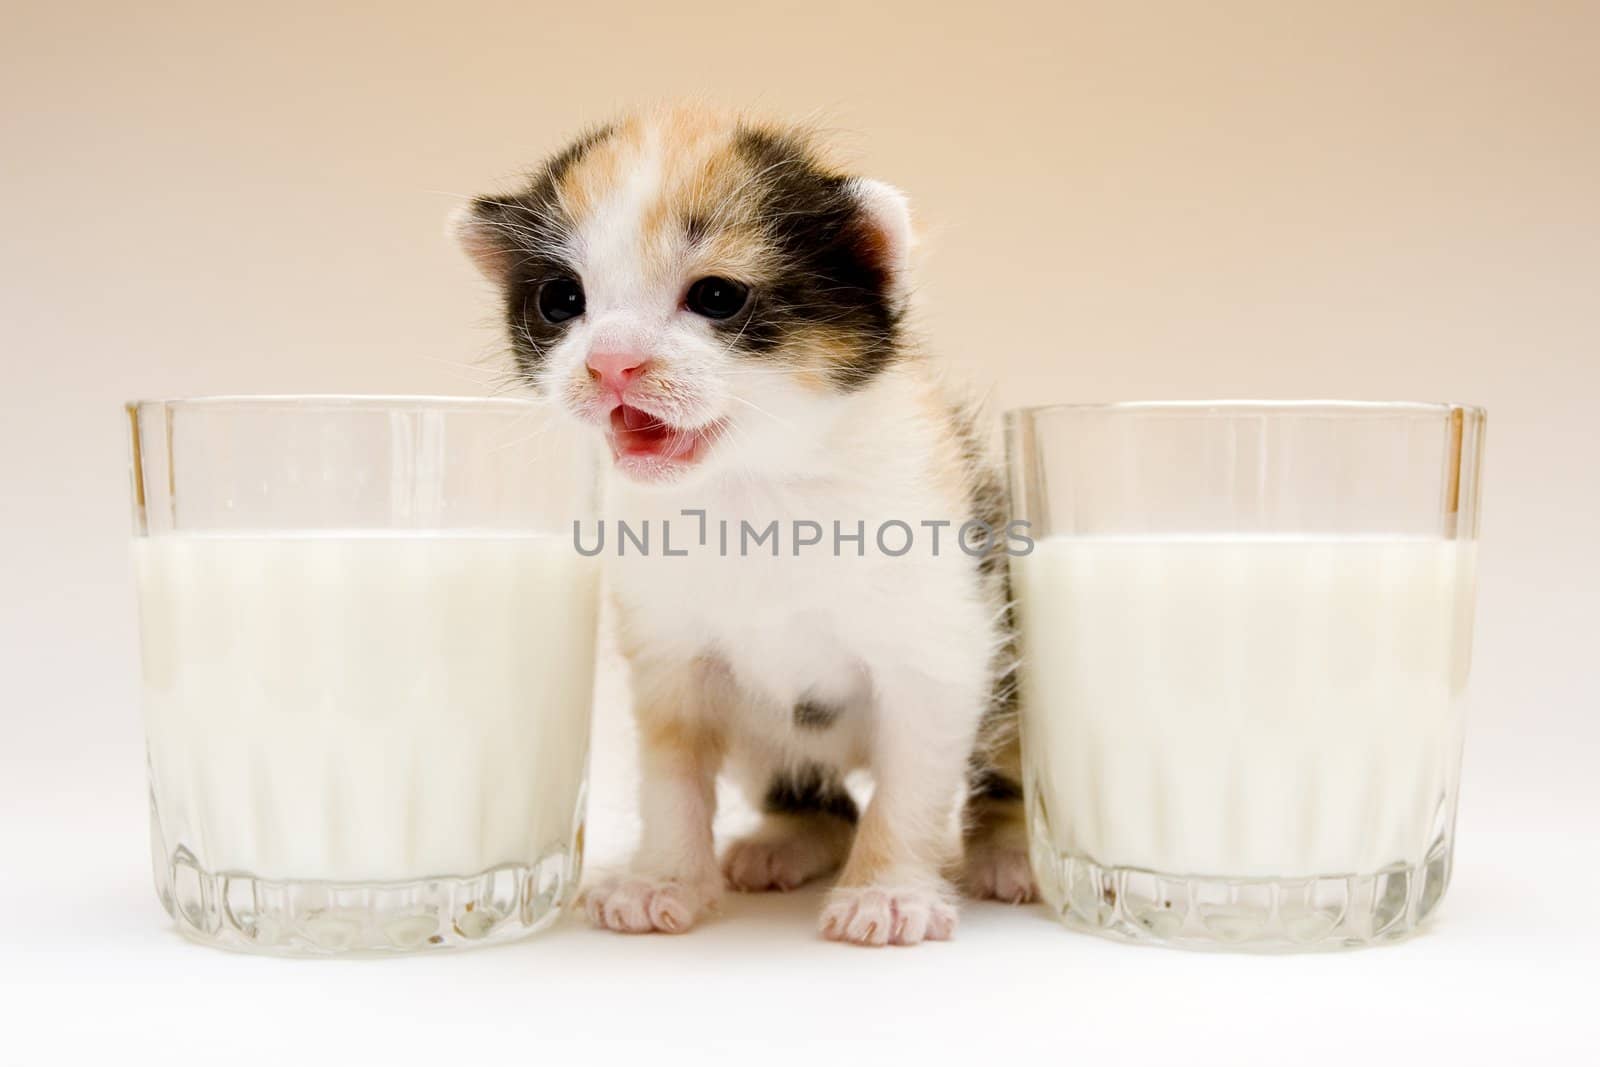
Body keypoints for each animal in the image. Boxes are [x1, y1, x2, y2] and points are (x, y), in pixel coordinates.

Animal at [457, 103, 1030, 947]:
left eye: (718, 296)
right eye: (562, 300)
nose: (612, 364)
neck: (752, 490)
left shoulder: (941, 648)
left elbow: (912, 785)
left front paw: (888, 893)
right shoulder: (669, 653)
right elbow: (671, 772)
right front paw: (661, 881)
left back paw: (1012, 851)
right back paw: (791, 838)